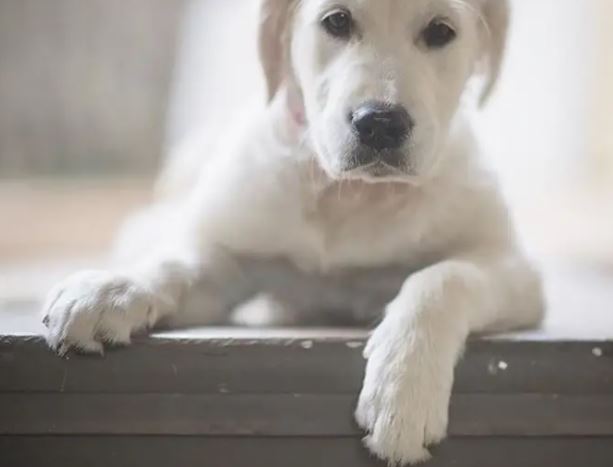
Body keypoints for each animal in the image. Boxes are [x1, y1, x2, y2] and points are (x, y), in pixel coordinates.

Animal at [41, 0, 540, 464]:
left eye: (441, 30)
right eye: (337, 21)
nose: (380, 123)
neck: (354, 197)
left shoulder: (514, 268)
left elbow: (442, 278)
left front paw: (404, 387)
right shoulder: (230, 258)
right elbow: (178, 260)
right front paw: (111, 289)